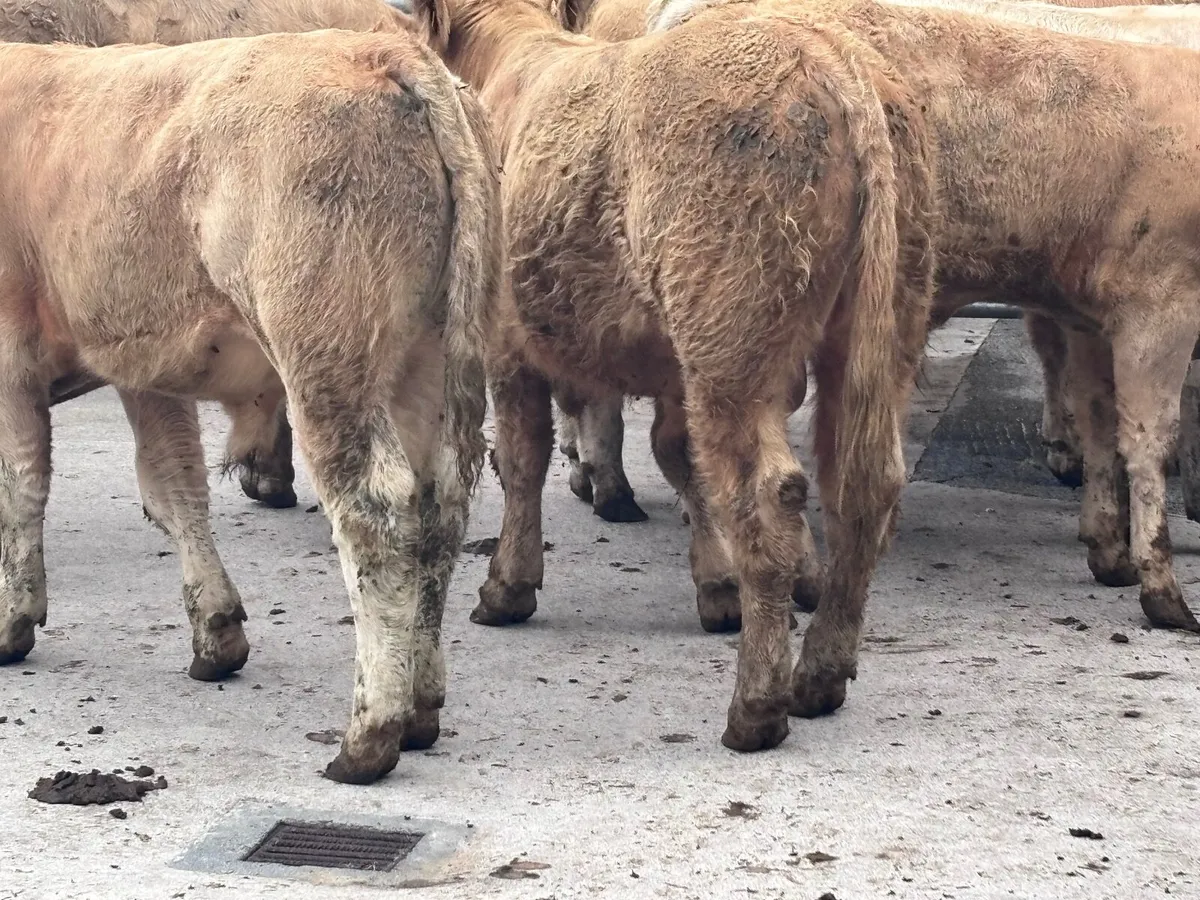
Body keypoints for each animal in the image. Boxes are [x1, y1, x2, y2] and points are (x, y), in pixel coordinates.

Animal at [0, 28, 500, 784]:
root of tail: (383, 49)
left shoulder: (10, 356)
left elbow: (21, 489)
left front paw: (12, 621)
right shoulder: (143, 361)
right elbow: (173, 488)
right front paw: (216, 633)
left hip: (328, 361)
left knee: (375, 512)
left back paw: (370, 735)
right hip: (427, 361)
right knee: (440, 508)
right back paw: (420, 708)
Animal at [407, 0, 938, 751]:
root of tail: (827, 55)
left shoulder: (508, 343)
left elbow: (522, 460)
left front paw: (509, 585)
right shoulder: (669, 372)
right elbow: (679, 458)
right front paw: (715, 585)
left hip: (729, 347)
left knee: (769, 496)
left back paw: (757, 705)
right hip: (881, 330)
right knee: (865, 488)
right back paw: (820, 673)